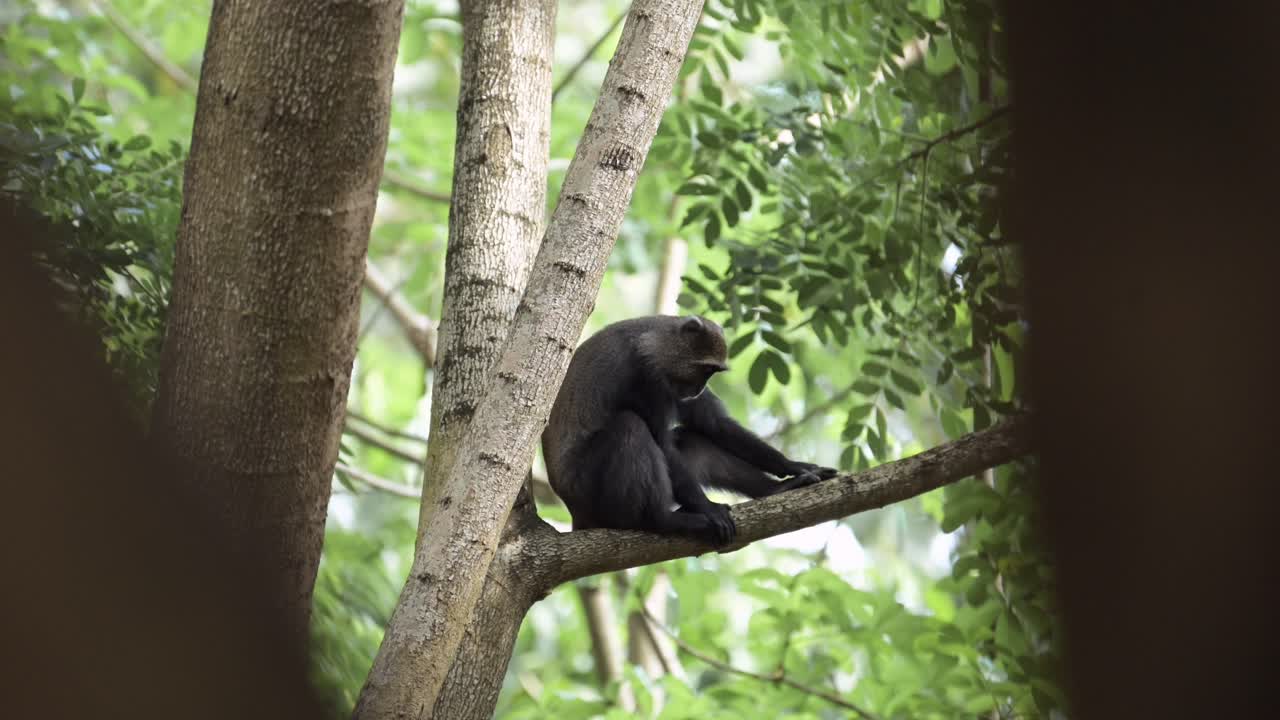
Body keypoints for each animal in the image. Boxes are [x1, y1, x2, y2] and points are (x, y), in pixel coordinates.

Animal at [541, 315, 838, 544]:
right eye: (705, 370)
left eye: (713, 373)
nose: (698, 389)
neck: (656, 340)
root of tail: (576, 514)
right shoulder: (647, 377)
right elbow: (662, 441)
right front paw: (710, 510)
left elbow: (714, 425)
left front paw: (795, 467)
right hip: (589, 490)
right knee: (629, 425)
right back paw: (659, 520)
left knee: (692, 440)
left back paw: (775, 490)